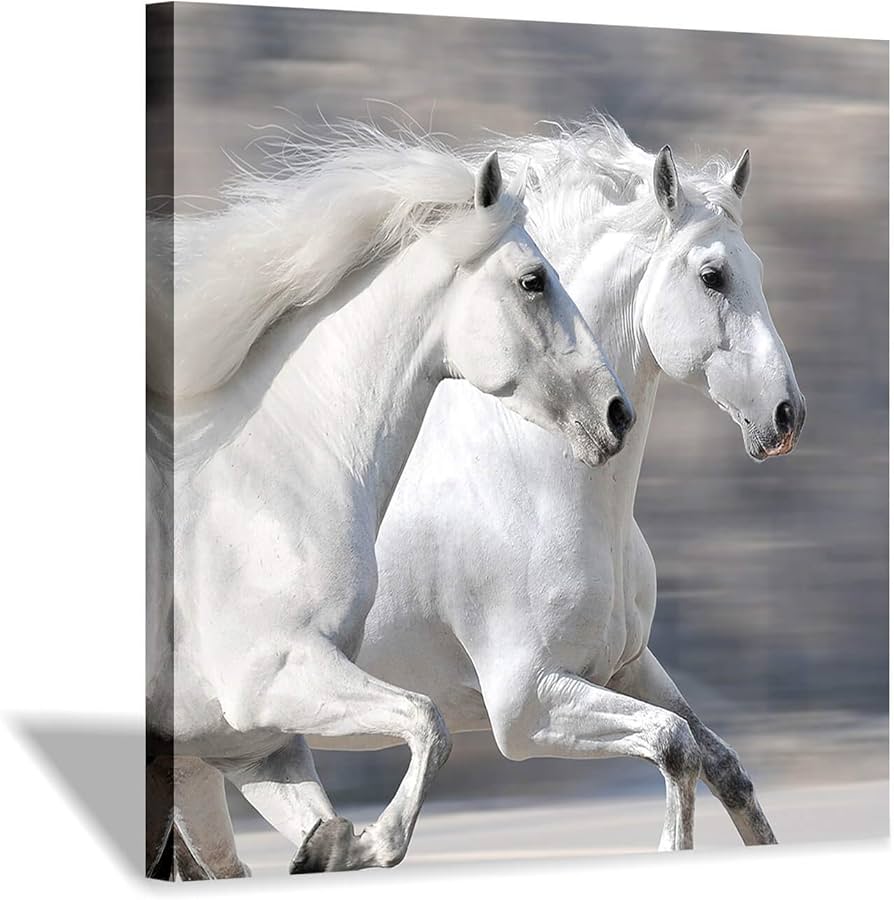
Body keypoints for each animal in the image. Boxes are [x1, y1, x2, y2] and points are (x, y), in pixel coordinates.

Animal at [145, 127, 634, 878]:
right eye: (533, 280)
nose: (616, 413)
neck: (270, 481)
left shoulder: (255, 745)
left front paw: (330, 847)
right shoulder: (278, 680)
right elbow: (429, 722)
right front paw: (369, 841)